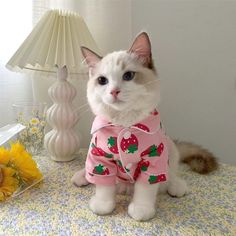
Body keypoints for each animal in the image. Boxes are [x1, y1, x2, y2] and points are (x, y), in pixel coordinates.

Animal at [72, 32, 218, 221]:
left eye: (128, 76)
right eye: (102, 80)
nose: (114, 91)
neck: (124, 122)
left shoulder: (153, 159)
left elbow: (145, 189)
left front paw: (141, 210)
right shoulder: (100, 157)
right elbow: (104, 186)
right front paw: (103, 205)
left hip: (169, 149)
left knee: (171, 174)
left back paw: (176, 186)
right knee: (91, 171)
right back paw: (82, 176)